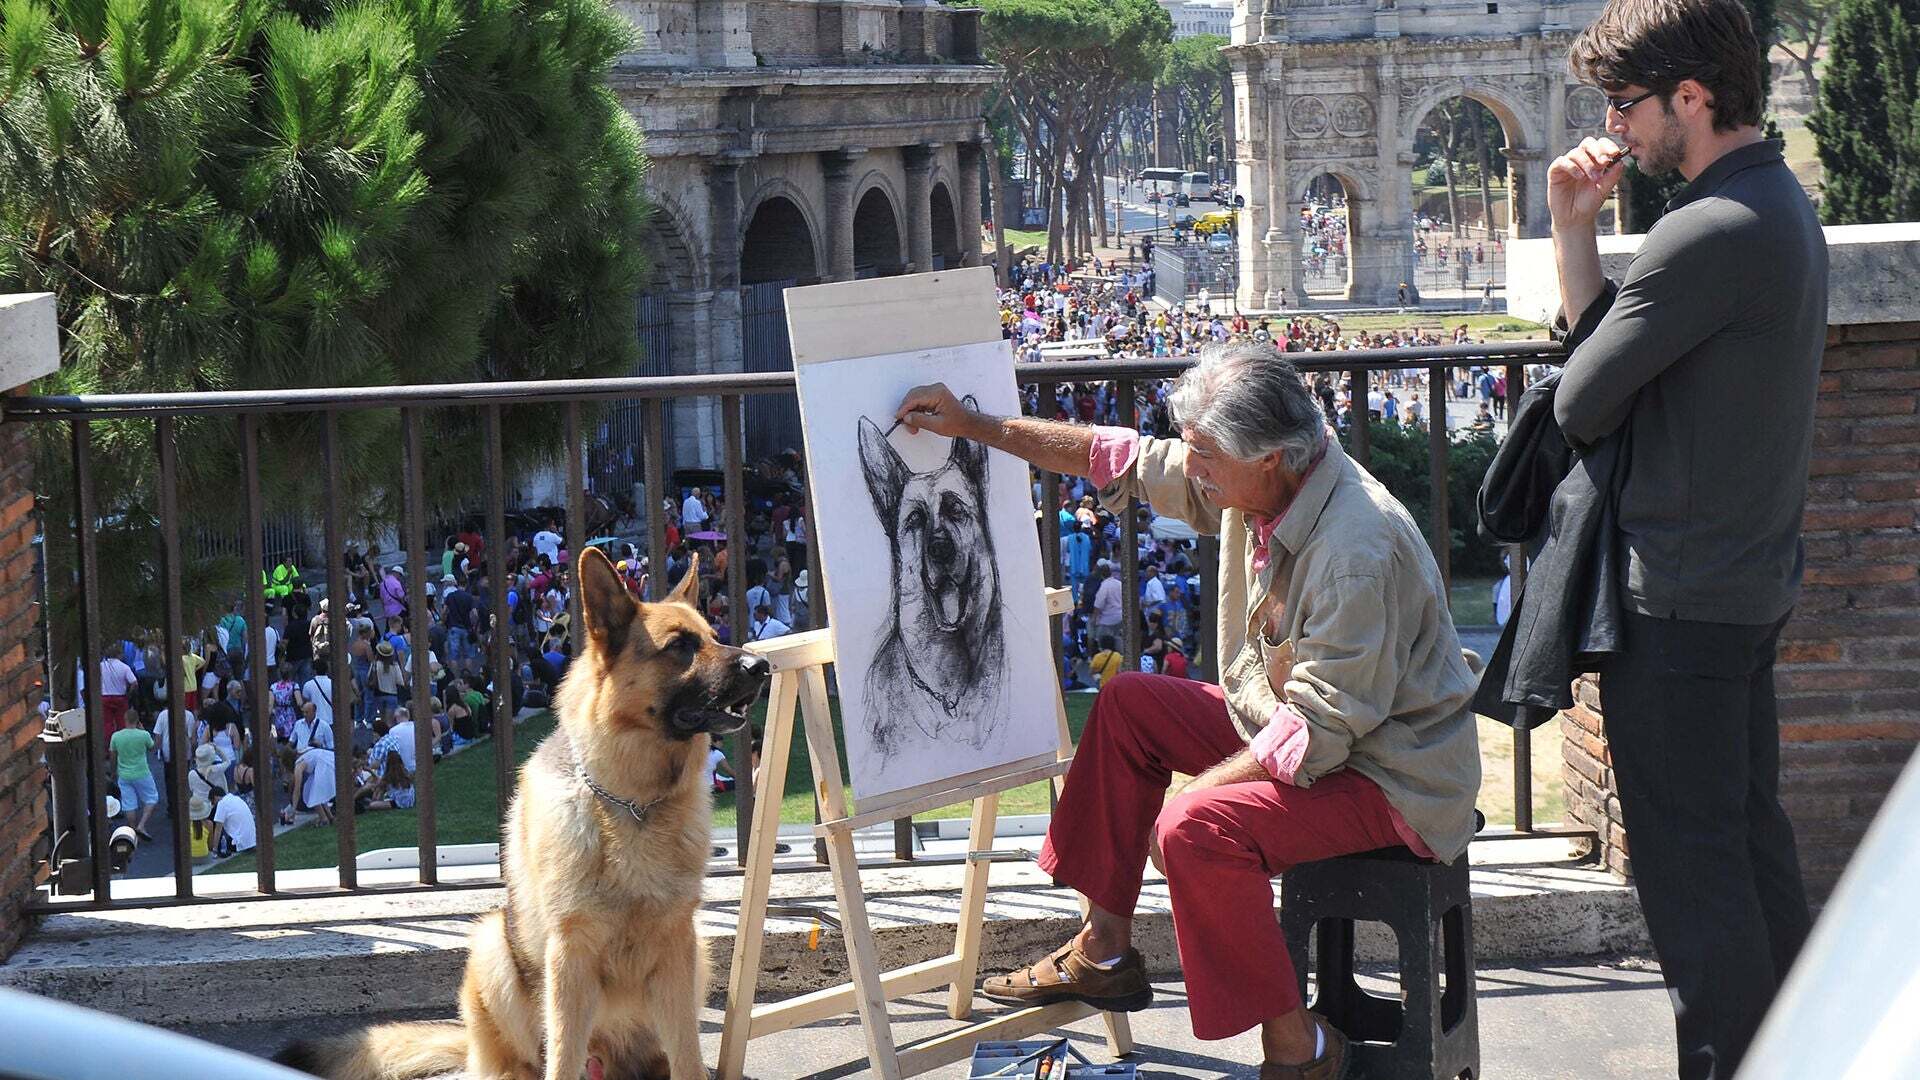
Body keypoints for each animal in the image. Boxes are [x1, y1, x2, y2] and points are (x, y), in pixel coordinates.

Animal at [276, 545, 764, 1076]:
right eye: (680, 646)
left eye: (713, 637)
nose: (762, 665)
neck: (633, 805)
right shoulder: (569, 955)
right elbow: (563, 1057)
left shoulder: (676, 946)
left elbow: (688, 1056)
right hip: (491, 944)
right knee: (523, 1060)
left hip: (698, 952)